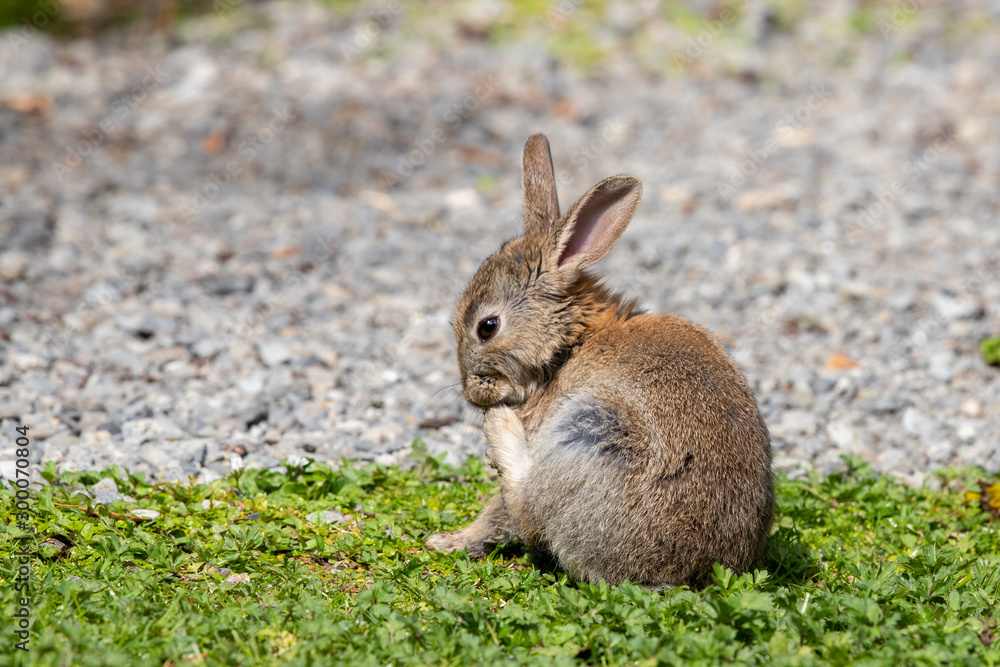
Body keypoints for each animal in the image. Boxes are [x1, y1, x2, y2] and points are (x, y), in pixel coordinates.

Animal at [425, 133, 774, 589]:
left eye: (487, 326)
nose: (472, 394)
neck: (571, 343)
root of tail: (685, 573)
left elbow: (500, 513)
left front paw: (449, 541)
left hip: (591, 433)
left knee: (531, 511)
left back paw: (498, 429)